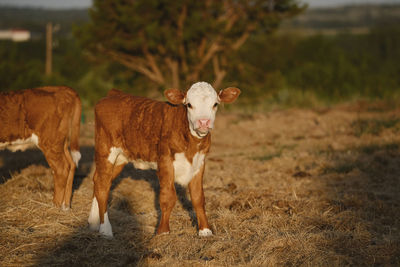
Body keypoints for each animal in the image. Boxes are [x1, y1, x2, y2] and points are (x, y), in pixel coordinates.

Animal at [88, 81, 241, 239]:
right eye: (189, 105)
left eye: (215, 104)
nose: (203, 122)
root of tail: (114, 94)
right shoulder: (165, 161)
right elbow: (168, 197)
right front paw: (163, 231)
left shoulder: (199, 162)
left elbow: (198, 197)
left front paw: (205, 230)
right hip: (106, 150)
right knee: (103, 186)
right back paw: (105, 229)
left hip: (121, 157)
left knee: (98, 180)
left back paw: (94, 223)